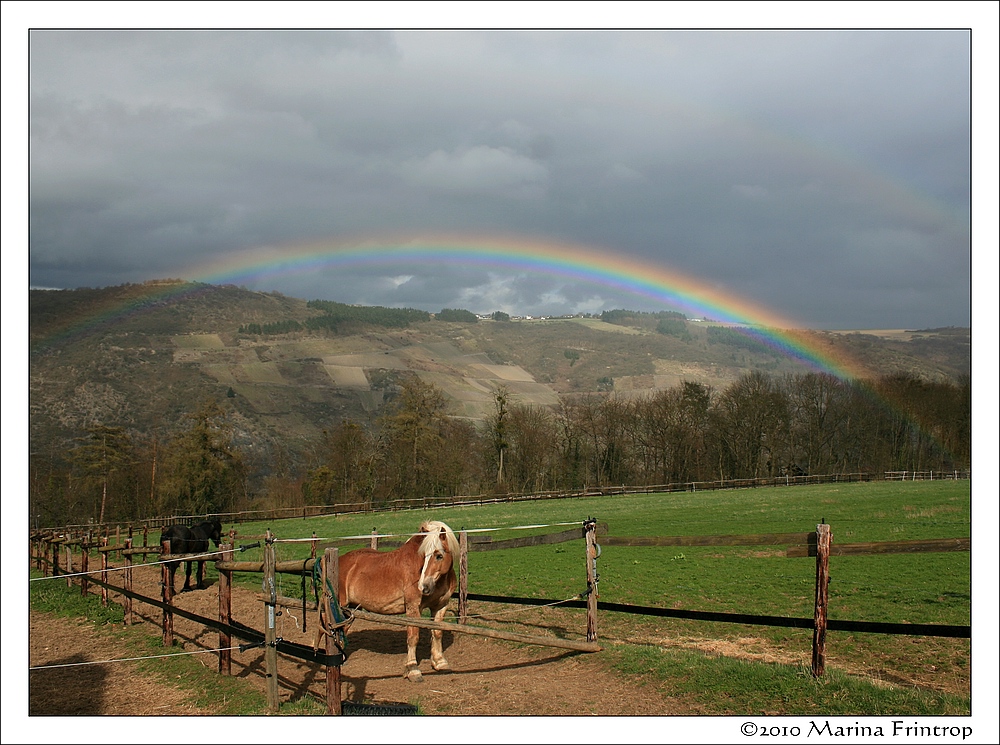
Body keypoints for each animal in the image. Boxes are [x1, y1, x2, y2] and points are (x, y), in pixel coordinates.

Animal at [338, 516, 458, 680]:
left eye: (439, 555)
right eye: (424, 556)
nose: (423, 587)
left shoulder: (440, 606)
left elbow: (437, 632)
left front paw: (439, 662)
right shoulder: (413, 608)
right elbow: (413, 637)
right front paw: (412, 669)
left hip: (351, 609)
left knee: (342, 628)